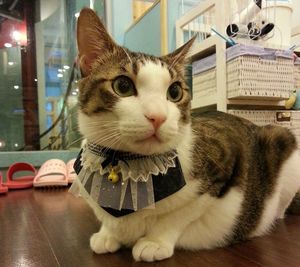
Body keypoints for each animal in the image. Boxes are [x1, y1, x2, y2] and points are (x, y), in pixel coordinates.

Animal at [71, 7, 300, 262]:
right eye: (123, 86)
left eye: (174, 92)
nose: (158, 117)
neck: (127, 165)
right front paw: (107, 234)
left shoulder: (224, 161)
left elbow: (179, 216)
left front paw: (154, 241)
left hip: (282, 141)